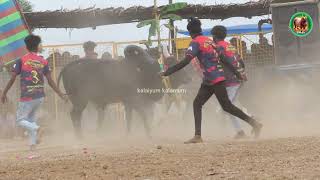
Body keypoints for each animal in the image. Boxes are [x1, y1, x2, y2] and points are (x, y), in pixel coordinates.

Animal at [57, 45, 190, 138]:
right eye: (173, 62)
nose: (189, 78)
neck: (139, 71)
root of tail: (69, 66)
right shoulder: (136, 101)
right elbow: (144, 115)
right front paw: (149, 133)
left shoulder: (128, 103)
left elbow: (130, 119)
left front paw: (128, 134)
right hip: (80, 101)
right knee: (75, 115)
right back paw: (80, 137)